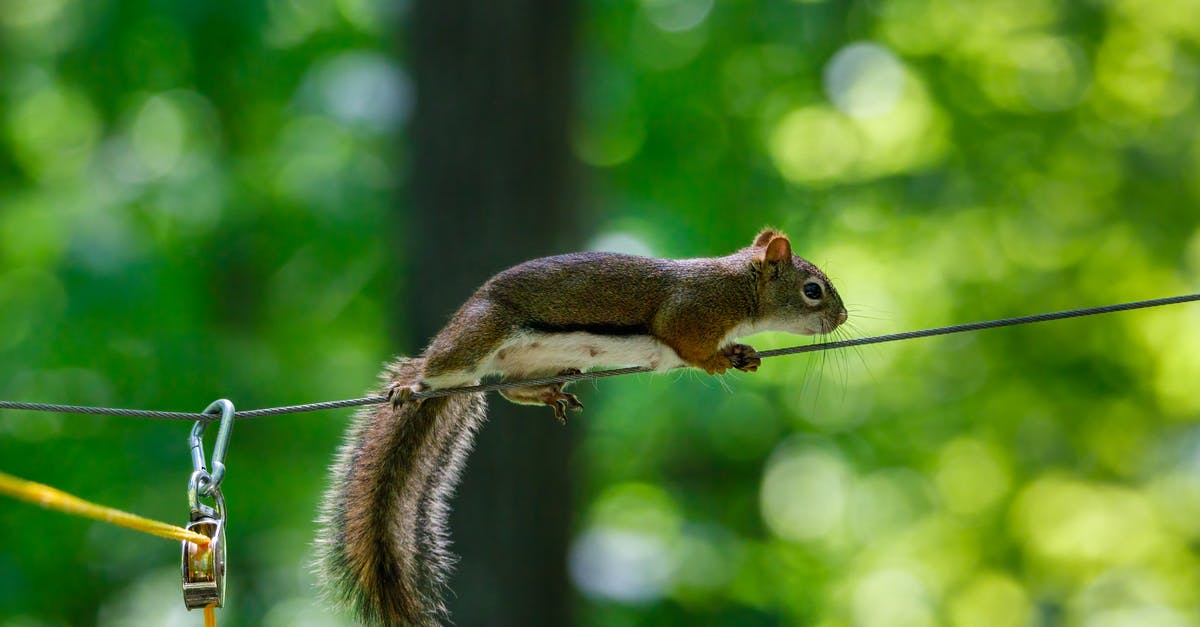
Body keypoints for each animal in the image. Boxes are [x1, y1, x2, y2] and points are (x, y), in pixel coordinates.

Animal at [316, 227, 844, 619]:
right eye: (812, 291)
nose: (841, 317)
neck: (738, 287)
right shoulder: (689, 312)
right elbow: (686, 344)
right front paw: (719, 361)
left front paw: (743, 353)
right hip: (474, 339)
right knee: (437, 369)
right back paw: (410, 387)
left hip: (537, 362)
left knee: (508, 388)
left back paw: (548, 394)